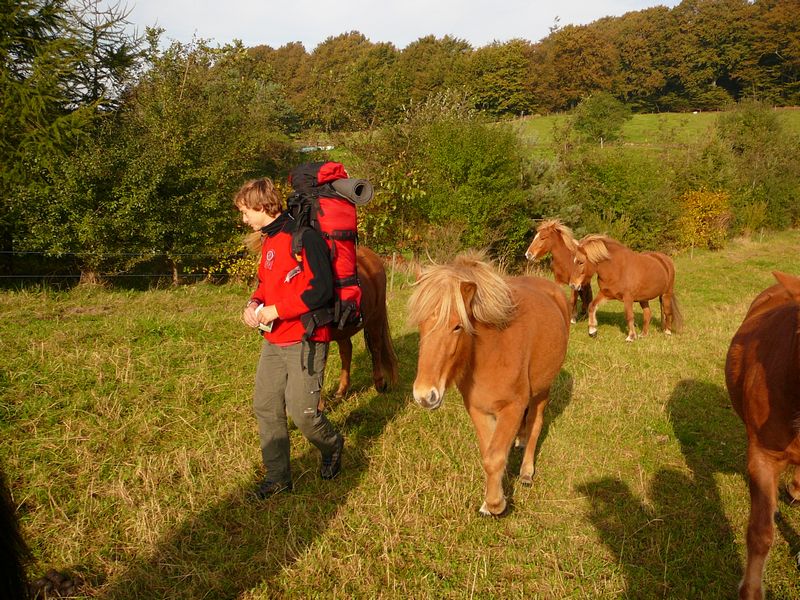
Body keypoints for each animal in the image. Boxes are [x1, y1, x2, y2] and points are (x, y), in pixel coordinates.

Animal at [410, 251, 572, 512]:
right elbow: (489, 453)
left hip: (543, 389)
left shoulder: (512, 408)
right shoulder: (478, 409)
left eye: (457, 326)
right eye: (421, 324)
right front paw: (494, 494)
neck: (494, 351)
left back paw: (526, 472)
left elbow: (494, 457)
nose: (425, 396)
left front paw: (495, 504)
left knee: (535, 424)